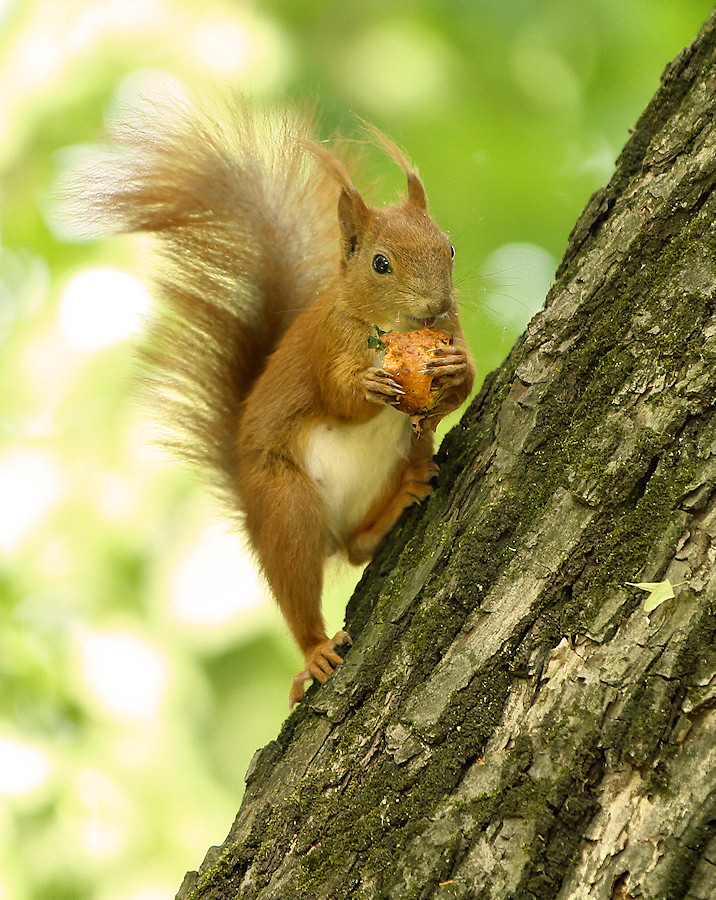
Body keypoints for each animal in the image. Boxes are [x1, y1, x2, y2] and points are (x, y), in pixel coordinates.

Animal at [78, 95, 472, 708]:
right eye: (380, 263)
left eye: (449, 247)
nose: (436, 306)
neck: (389, 330)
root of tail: (249, 501)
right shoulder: (326, 345)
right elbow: (338, 397)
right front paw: (369, 385)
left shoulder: (453, 332)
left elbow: (469, 379)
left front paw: (452, 372)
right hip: (288, 506)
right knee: (300, 581)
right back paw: (315, 651)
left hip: (395, 462)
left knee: (356, 548)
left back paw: (396, 503)